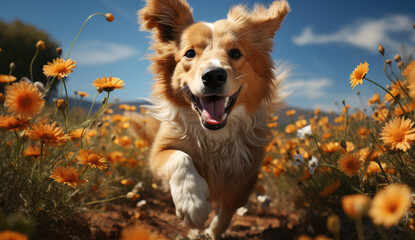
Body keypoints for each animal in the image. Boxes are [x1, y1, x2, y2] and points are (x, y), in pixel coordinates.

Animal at [138, 0, 290, 236]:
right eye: (190, 53)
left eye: (235, 53)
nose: (213, 76)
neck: (214, 136)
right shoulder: (158, 152)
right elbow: (180, 157)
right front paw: (192, 202)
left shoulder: (248, 170)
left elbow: (229, 208)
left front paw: (212, 231)